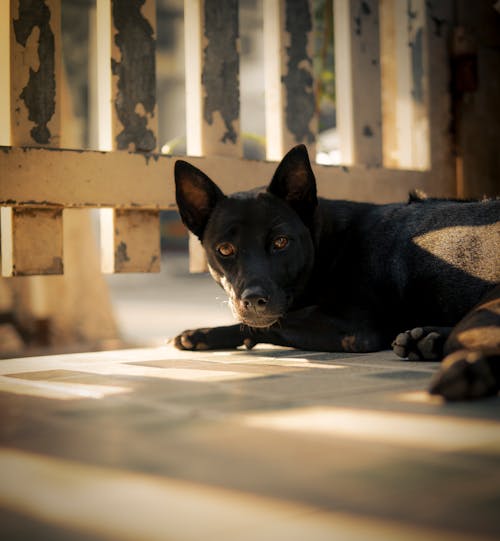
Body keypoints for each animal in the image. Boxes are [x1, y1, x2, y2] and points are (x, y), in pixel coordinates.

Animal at [173, 143, 500, 400]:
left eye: (280, 242)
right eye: (225, 250)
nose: (252, 300)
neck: (328, 242)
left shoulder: (354, 330)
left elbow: (268, 324)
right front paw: (201, 334)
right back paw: (425, 341)